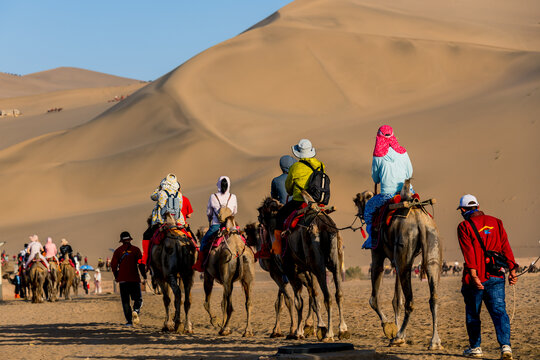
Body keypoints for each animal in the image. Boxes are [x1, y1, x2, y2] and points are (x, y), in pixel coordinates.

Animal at [258, 193, 350, 342]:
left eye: (261, 210)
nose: (259, 220)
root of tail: (325, 226)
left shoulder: (289, 270)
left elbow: (298, 301)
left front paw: (298, 332)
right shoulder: (304, 270)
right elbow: (312, 296)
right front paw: (312, 327)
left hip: (317, 264)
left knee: (327, 296)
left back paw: (328, 334)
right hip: (336, 261)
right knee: (338, 293)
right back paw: (342, 330)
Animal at [354, 179, 442, 350]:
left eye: (358, 201)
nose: (359, 213)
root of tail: (420, 221)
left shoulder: (377, 253)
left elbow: (374, 299)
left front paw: (389, 328)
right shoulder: (395, 262)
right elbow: (396, 300)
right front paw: (400, 331)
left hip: (404, 250)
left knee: (410, 301)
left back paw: (398, 337)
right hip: (431, 244)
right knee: (433, 297)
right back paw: (434, 341)